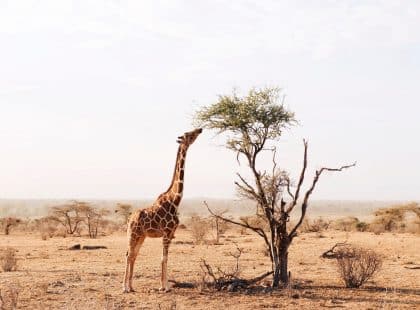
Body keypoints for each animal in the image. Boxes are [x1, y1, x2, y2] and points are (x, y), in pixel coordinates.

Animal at [123, 127, 202, 292]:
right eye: (188, 134)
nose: (200, 129)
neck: (175, 201)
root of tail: (129, 219)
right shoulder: (166, 233)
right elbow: (163, 258)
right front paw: (163, 287)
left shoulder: (171, 234)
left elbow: (166, 258)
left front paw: (166, 286)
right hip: (132, 234)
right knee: (128, 254)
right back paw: (124, 287)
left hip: (141, 236)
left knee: (134, 255)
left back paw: (132, 287)